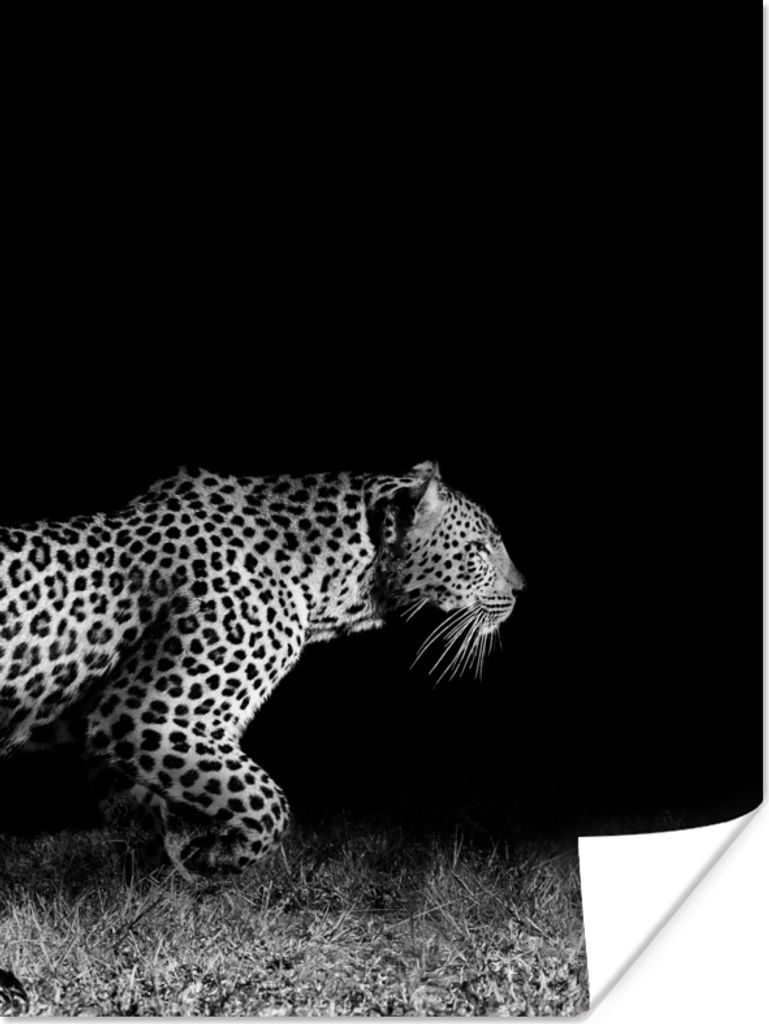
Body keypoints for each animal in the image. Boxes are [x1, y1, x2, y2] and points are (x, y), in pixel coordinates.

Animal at [0, 460, 525, 874]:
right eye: (480, 549)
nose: (522, 588)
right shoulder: (145, 715)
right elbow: (266, 800)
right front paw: (220, 857)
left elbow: (152, 810)